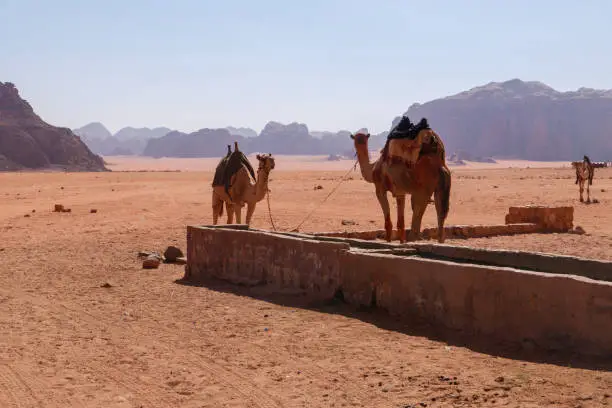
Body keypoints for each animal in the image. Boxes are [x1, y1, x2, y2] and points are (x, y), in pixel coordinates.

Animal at [352, 116, 452, 244]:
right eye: (356, 139)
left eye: (360, 139)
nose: (358, 143)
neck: (373, 168)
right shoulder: (400, 192)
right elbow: (401, 223)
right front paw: (401, 241)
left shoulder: (380, 189)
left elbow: (388, 221)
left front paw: (389, 241)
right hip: (442, 185)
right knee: (441, 211)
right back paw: (439, 241)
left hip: (423, 187)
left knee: (418, 208)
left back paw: (412, 240)